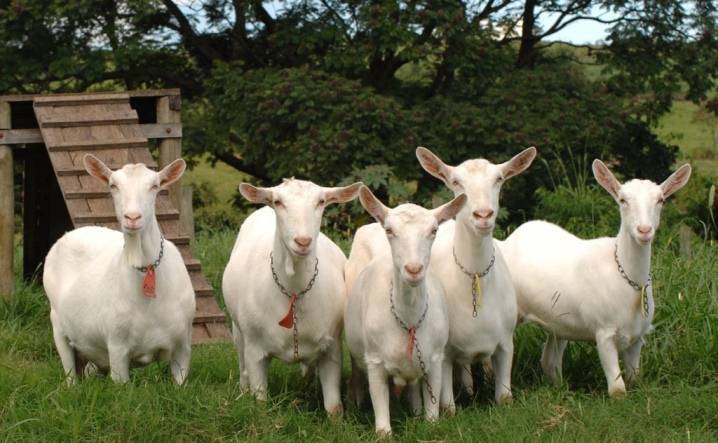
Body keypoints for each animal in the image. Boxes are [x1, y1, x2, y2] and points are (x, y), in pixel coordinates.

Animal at [44, 155, 197, 386]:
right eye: (113, 185)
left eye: (155, 185)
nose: (132, 217)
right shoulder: (117, 346)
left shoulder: (183, 345)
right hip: (58, 326)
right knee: (70, 372)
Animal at [222, 177, 362, 416]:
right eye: (278, 202)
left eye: (321, 201)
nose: (303, 241)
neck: (294, 293)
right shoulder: (255, 351)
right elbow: (260, 402)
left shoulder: (331, 348)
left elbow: (334, 408)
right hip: (238, 331)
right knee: (242, 366)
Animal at [348, 186, 470, 436]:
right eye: (390, 230)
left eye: (434, 230)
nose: (413, 269)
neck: (409, 319)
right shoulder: (374, 360)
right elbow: (380, 402)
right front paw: (383, 433)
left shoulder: (435, 359)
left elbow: (432, 405)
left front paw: (430, 425)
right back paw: (358, 403)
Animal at [414, 146, 536, 410]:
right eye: (456, 182)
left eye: (499, 179)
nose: (483, 214)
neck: (475, 277)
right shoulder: (445, 353)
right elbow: (448, 407)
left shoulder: (506, 343)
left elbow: (504, 398)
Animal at [500, 161, 692, 398]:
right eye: (622, 200)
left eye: (661, 200)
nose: (644, 230)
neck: (625, 277)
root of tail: (510, 239)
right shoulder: (604, 332)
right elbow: (618, 390)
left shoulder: (637, 338)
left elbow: (634, 379)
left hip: (560, 320)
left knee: (549, 360)